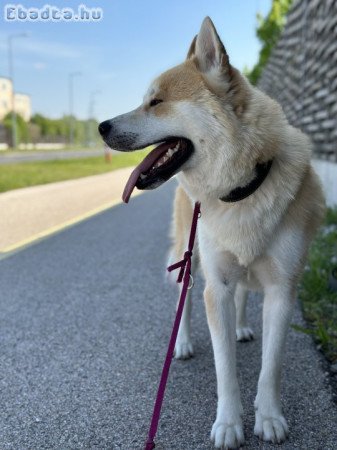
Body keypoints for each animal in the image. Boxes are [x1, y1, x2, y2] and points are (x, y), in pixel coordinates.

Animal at [98, 15, 324, 448]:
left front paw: (269, 417)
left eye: (156, 102)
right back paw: (183, 342)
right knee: (184, 298)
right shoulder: (214, 285)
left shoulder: (282, 290)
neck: (243, 188)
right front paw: (228, 424)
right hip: (191, 254)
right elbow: (225, 369)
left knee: (242, 295)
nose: (101, 126)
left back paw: (242, 327)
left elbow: (271, 366)